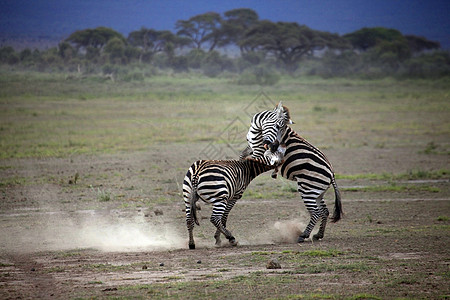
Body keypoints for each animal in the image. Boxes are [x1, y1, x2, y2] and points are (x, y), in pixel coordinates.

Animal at [241, 106, 342, 243]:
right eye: (277, 127)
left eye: (281, 128)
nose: (274, 147)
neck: (257, 127)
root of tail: (331, 173)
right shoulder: (252, 148)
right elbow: (243, 154)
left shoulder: (259, 152)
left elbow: (249, 161)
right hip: (317, 191)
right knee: (324, 211)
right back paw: (318, 235)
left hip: (308, 189)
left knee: (316, 212)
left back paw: (303, 235)